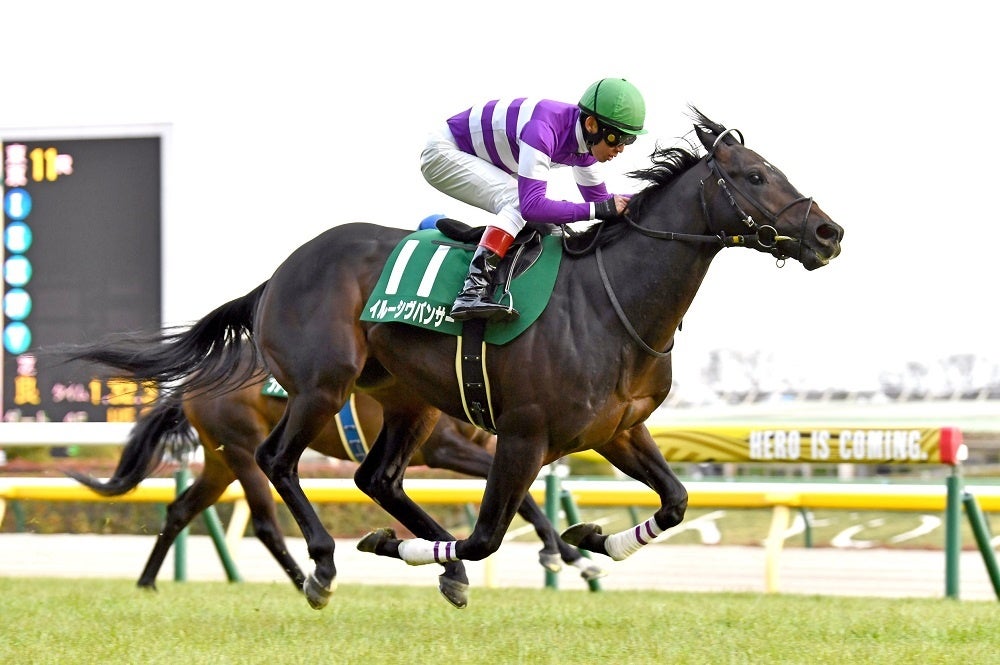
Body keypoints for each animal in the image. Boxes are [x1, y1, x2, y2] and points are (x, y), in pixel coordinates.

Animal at [66, 346, 603, 591]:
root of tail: (199, 377)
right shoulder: (444, 450)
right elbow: (524, 497)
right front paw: (562, 554)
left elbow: (519, 496)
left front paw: (572, 556)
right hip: (242, 450)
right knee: (264, 521)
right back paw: (305, 576)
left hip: (220, 460)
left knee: (180, 510)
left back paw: (147, 581)